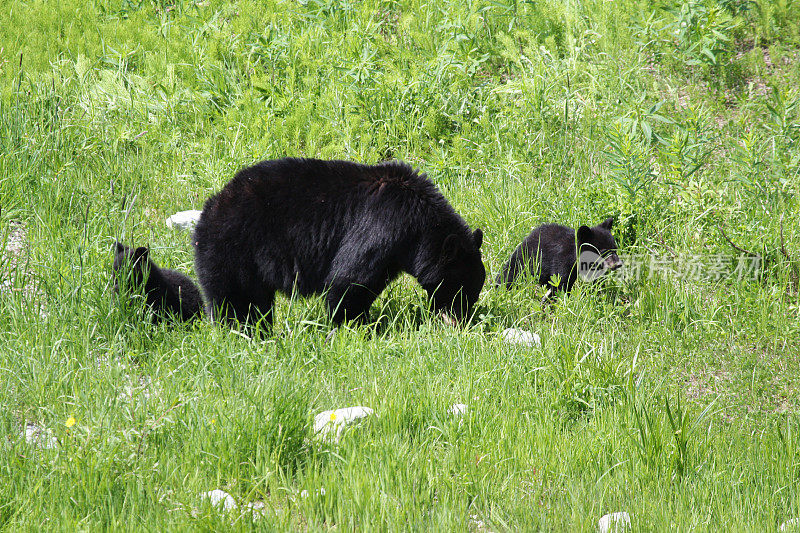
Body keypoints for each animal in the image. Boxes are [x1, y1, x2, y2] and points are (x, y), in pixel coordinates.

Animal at [192, 156, 488, 326]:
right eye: (461, 290)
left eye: (473, 292)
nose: (460, 321)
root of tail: (211, 207)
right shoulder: (383, 226)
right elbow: (350, 278)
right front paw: (352, 325)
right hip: (233, 247)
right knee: (235, 299)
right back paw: (242, 332)